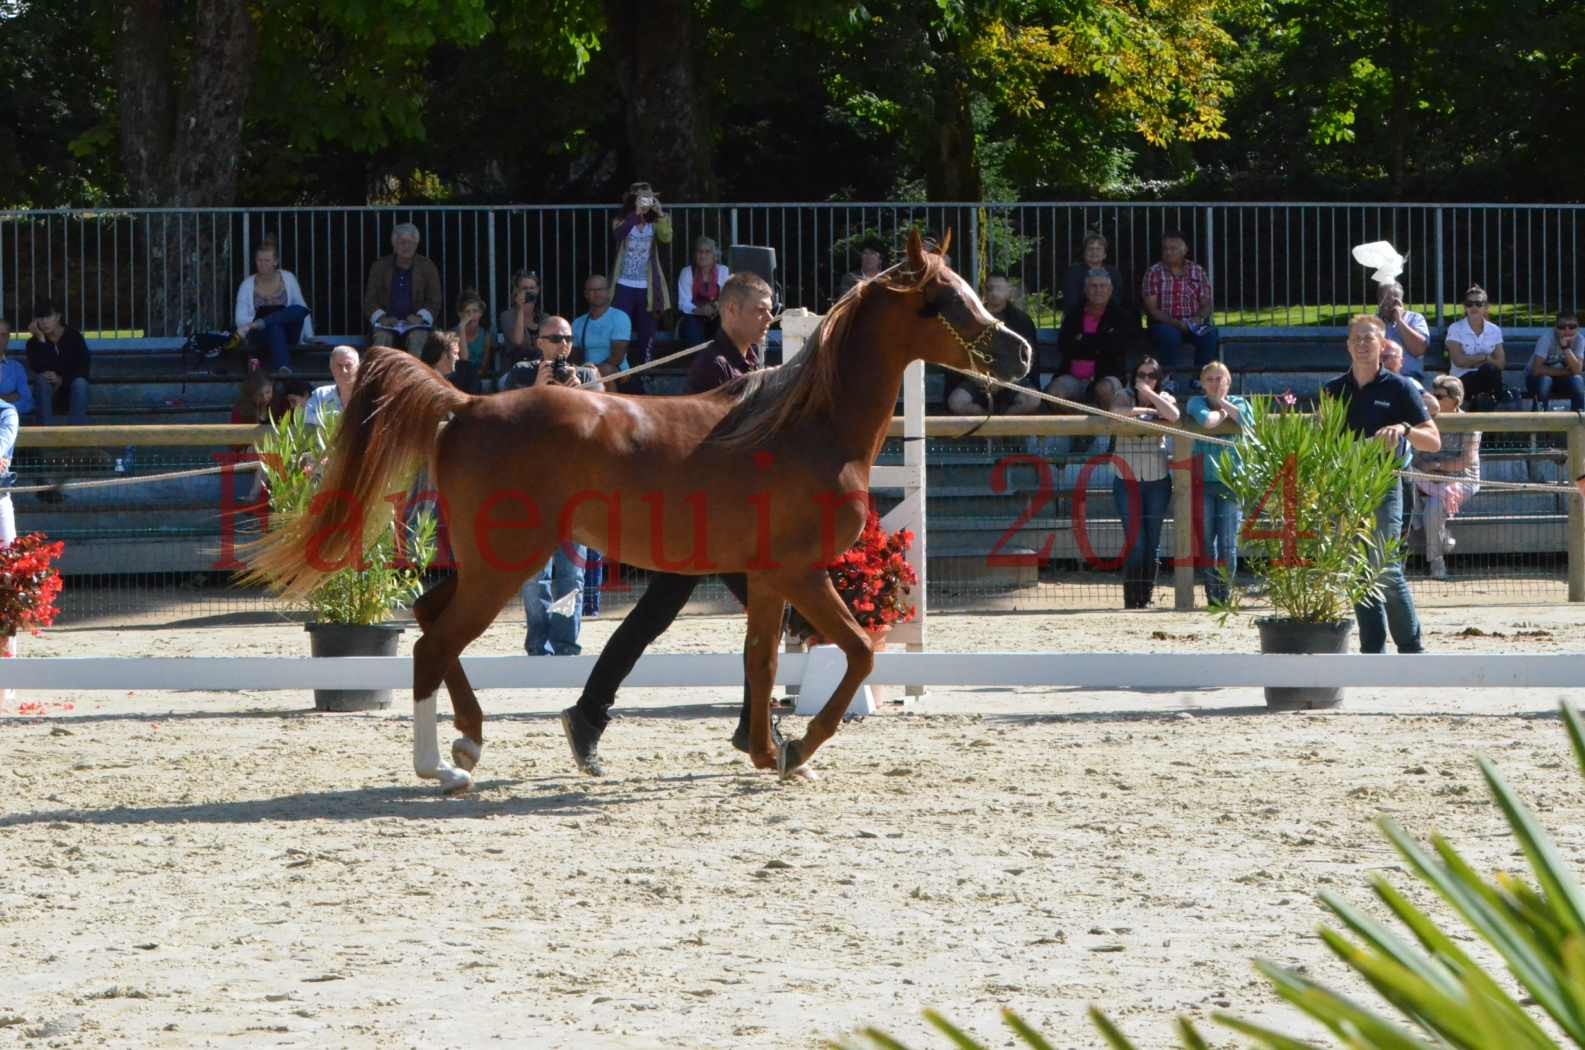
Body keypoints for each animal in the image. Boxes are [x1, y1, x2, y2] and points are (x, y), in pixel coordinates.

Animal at [250, 229, 1027, 789]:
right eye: (942, 302)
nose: (1018, 353)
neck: (807, 424)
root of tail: (465, 403)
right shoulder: (801, 573)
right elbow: (861, 652)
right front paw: (799, 746)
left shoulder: (767, 579)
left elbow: (762, 662)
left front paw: (764, 748)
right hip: (505, 564)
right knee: (433, 643)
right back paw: (443, 765)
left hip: (486, 563)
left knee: (427, 619)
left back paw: (472, 744)